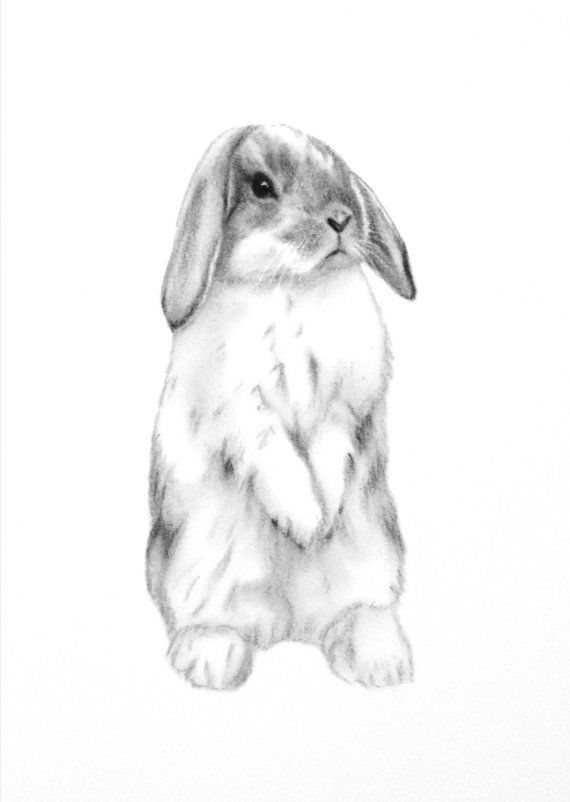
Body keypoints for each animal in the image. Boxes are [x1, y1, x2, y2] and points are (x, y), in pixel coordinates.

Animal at [146, 124, 416, 690]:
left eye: (339, 176)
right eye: (262, 186)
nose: (341, 218)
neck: (291, 285)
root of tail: (292, 626)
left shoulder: (342, 402)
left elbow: (329, 448)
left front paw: (322, 519)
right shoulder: (240, 405)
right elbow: (273, 453)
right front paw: (305, 525)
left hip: (376, 554)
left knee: (358, 611)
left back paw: (380, 661)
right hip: (200, 561)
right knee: (219, 617)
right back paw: (210, 659)